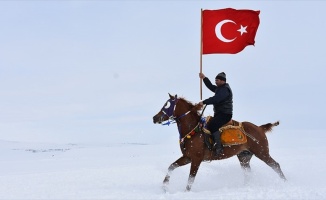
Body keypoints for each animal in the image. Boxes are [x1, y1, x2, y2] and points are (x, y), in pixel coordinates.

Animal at [152, 94, 286, 191]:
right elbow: (171, 166)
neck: (194, 129)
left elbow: (191, 178)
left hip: (262, 153)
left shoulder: (196, 159)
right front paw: (164, 186)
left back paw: (284, 182)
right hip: (244, 157)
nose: (155, 118)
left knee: (276, 165)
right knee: (248, 173)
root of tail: (260, 128)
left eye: (167, 106)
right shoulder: (187, 157)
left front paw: (186, 191)